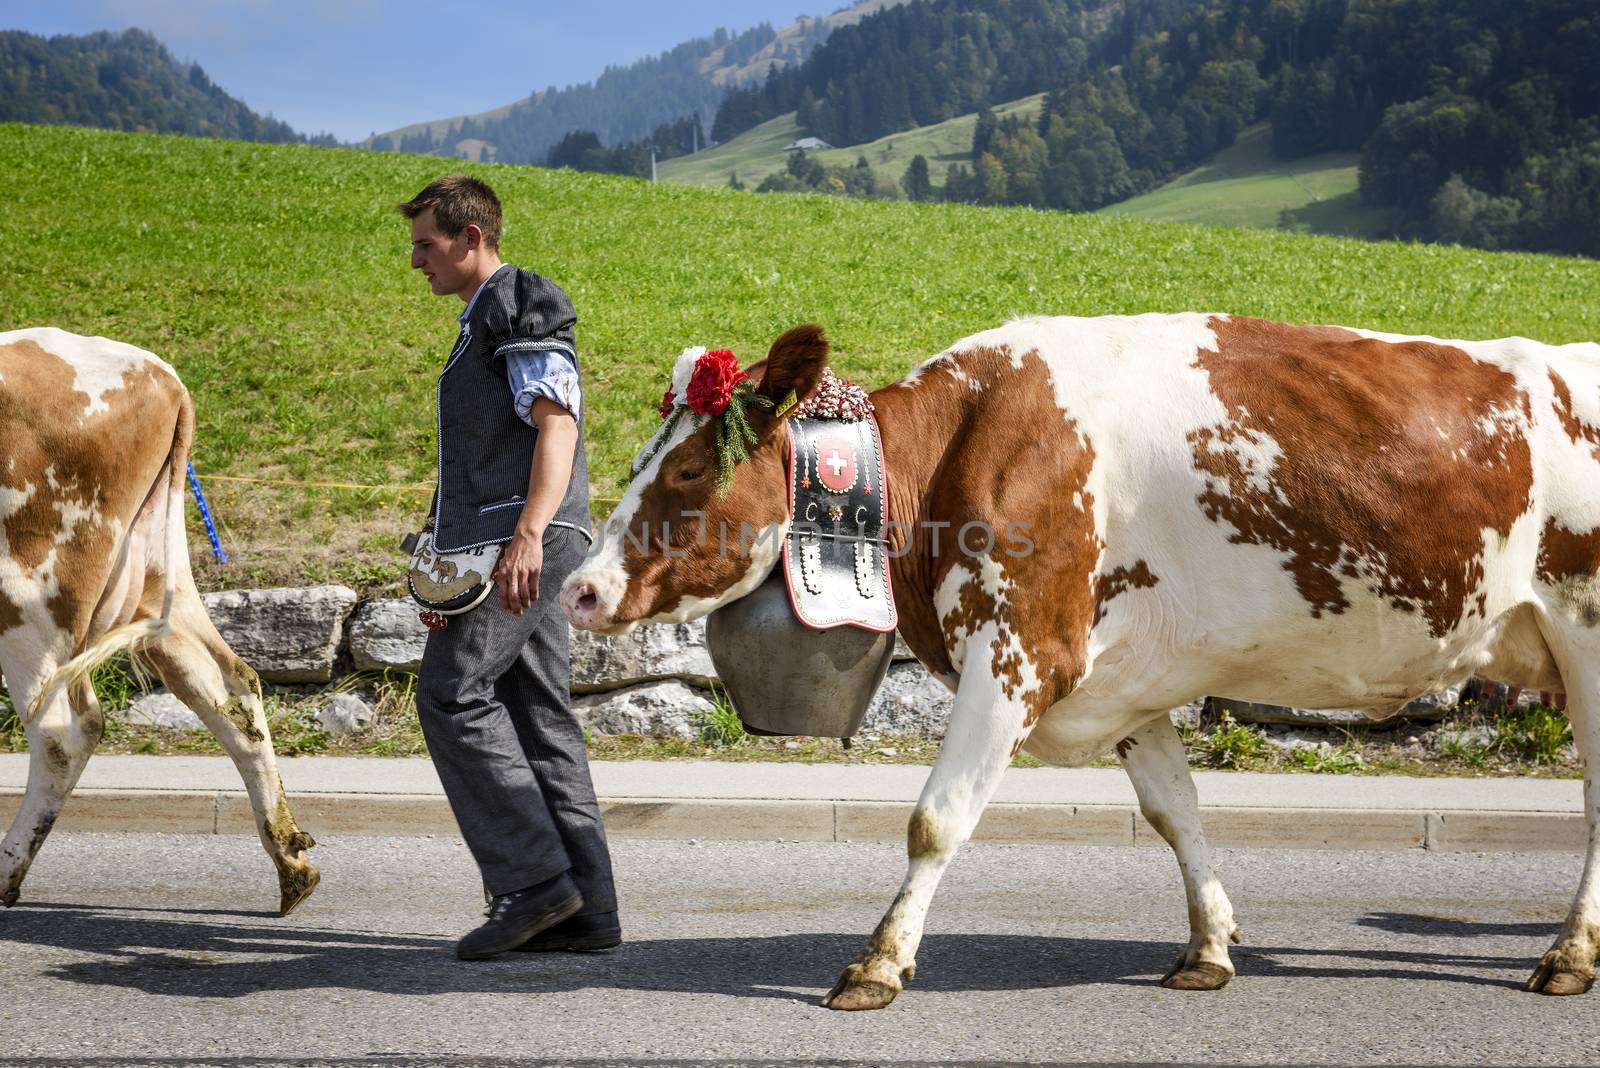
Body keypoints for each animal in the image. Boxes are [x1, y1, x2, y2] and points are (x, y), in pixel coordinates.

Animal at [0, 329, 318, 914]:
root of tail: (159, 373)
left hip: (30, 588)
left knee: (63, 731)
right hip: (155, 574)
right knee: (229, 685)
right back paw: (291, 863)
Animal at [563, 313, 1600, 1004]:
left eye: (688, 469)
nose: (579, 588)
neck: (958, 452)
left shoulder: (1018, 650)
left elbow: (936, 820)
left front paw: (879, 963)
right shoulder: (1124, 681)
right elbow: (1178, 814)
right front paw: (1209, 947)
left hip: (1585, 634)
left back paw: (1568, 956)